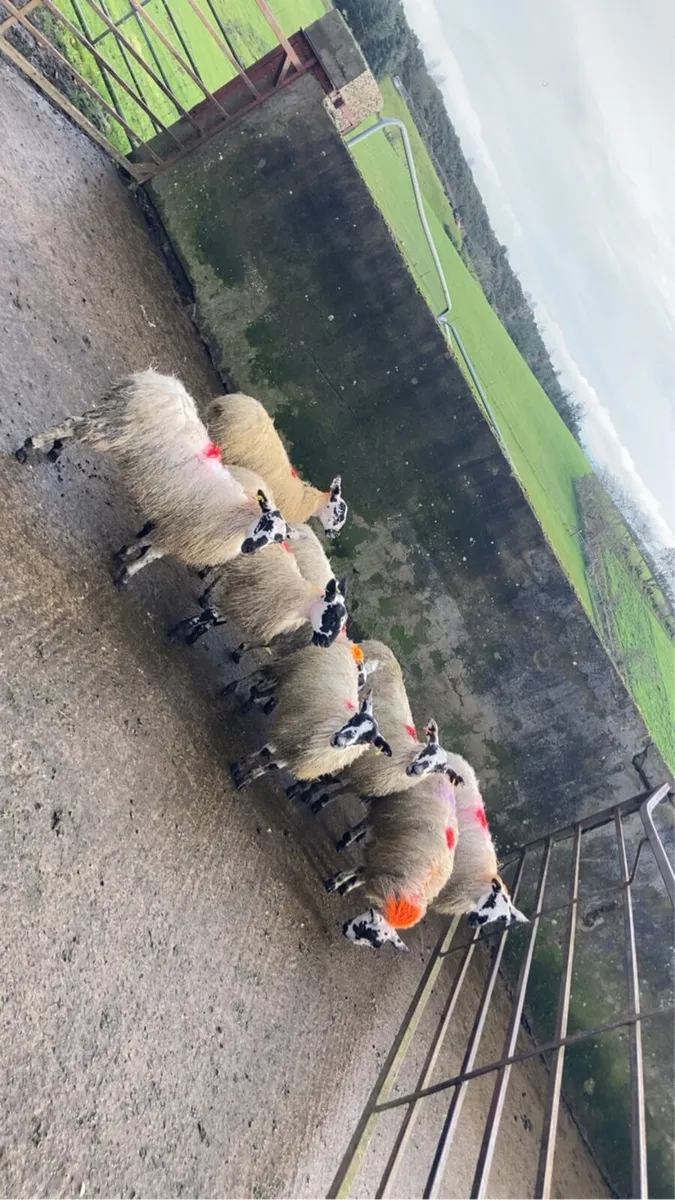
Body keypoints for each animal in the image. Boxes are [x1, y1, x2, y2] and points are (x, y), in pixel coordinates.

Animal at [15, 370, 291, 587]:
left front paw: (124, 554)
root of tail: (153, 380)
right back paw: (29, 446)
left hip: (109, 421)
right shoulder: (180, 535)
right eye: (266, 522)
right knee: (72, 425)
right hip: (115, 425)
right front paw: (126, 575)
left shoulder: (173, 526)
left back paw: (55, 450)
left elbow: (147, 542)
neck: (235, 518)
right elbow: (150, 555)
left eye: (278, 539)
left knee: (76, 428)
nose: (250, 549)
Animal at [230, 638, 392, 790]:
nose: (338, 740)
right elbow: (264, 751)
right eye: (354, 718)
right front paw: (240, 766)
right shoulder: (291, 732)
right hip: (288, 666)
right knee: (259, 674)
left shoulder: (300, 758)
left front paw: (248, 778)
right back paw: (234, 687)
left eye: (366, 741)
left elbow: (272, 766)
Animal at [326, 770, 460, 951]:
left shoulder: (384, 864)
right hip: (380, 792)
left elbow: (360, 875)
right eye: (364, 926)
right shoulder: (384, 859)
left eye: (375, 944)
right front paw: (335, 882)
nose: (344, 930)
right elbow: (359, 871)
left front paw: (345, 886)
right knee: (357, 804)